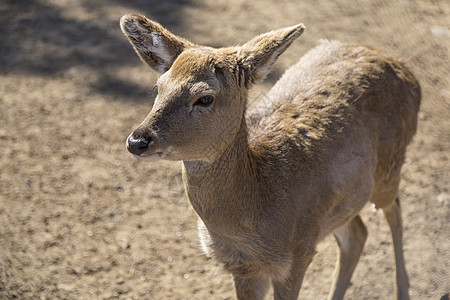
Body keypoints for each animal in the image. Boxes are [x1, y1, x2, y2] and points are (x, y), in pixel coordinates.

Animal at [120, 12, 422, 298]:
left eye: (205, 98)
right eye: (158, 88)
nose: (137, 140)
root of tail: (408, 71)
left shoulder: (296, 254)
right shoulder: (243, 267)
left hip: (389, 166)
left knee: (394, 208)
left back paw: (403, 290)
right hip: (343, 202)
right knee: (357, 234)